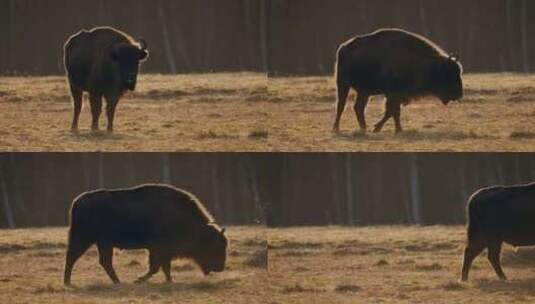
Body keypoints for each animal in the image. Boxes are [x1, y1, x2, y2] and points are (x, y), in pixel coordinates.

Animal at [63, 183, 228, 284]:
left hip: (102, 243)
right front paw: (139, 279)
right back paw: (68, 282)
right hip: (85, 239)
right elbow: (156, 267)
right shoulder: (159, 249)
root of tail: (77, 201)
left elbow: (162, 267)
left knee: (103, 261)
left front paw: (169, 280)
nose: (220, 267)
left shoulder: (162, 251)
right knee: (73, 257)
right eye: (215, 246)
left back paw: (117, 282)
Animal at [332, 28, 462, 133]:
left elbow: (392, 112)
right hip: (343, 84)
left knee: (358, 107)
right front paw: (389, 129)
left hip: (364, 92)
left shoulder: (397, 95)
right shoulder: (393, 94)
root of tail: (343, 47)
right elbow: (393, 111)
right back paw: (336, 128)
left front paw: (383, 128)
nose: (459, 94)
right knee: (341, 105)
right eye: (448, 74)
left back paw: (363, 128)